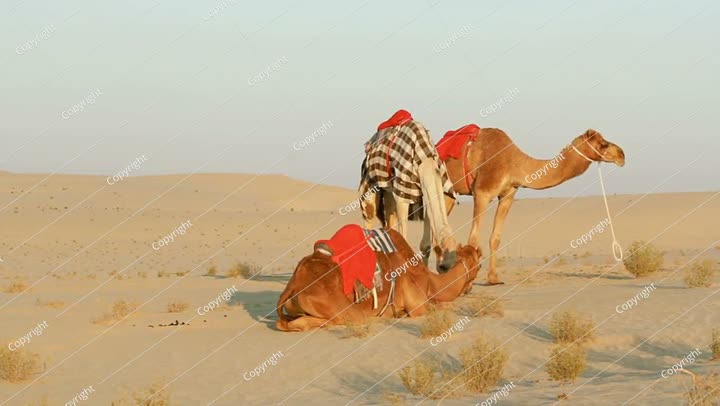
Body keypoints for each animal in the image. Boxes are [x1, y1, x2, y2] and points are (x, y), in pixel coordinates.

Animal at [276, 228, 481, 332]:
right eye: (479, 266)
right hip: (342, 307)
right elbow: (440, 307)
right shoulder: (418, 306)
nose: (469, 288)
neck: (430, 281)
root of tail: (295, 283)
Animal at [359, 109, 460, 272]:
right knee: (369, 215)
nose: (443, 270)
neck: (425, 162)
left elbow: (425, 246)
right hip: (369, 183)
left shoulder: (424, 193)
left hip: (388, 191)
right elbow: (404, 239)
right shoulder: (403, 191)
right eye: (443, 267)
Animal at [436, 128, 625, 285]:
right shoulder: (482, 192)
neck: (514, 163)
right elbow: (474, 239)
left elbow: (495, 238)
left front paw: (494, 279)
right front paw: (468, 283)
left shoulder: (508, 195)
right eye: (603, 143)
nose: (622, 155)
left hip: (448, 195)